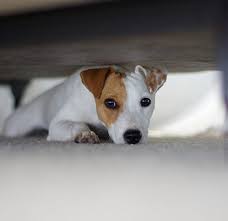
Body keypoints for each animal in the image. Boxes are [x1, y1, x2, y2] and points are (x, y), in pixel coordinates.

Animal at [3, 64, 167, 144]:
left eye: (145, 101)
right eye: (110, 103)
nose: (133, 136)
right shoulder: (58, 124)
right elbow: (76, 124)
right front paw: (85, 133)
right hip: (16, 128)